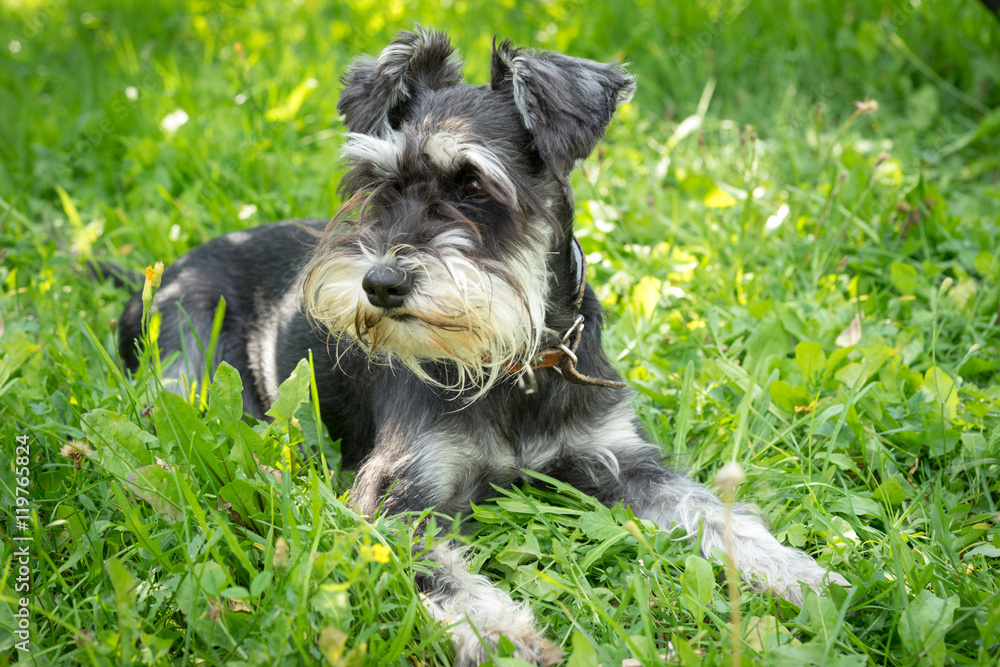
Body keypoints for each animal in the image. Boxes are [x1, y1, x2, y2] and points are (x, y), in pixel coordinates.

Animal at [121, 27, 848, 667]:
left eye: (472, 183)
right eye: (380, 183)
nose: (380, 283)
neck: (517, 364)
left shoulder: (624, 460)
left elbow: (714, 513)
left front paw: (800, 575)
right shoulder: (395, 498)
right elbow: (441, 574)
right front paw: (503, 636)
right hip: (190, 364)